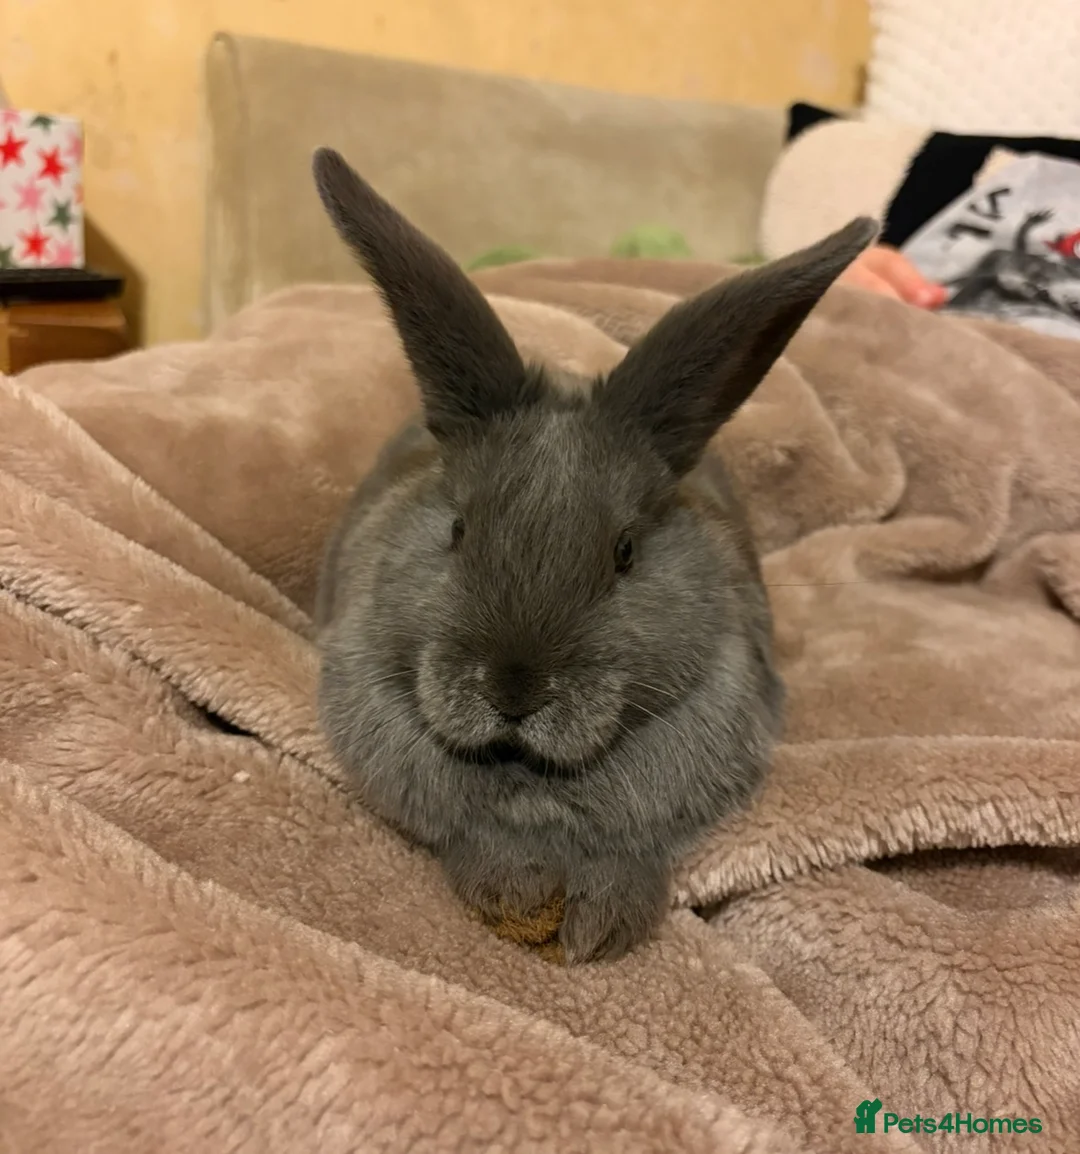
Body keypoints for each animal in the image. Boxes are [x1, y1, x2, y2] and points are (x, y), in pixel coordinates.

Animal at [311, 146, 876, 963]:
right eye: (457, 530)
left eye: (626, 552)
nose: (513, 690)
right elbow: (480, 845)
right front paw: (518, 905)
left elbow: (628, 860)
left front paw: (598, 932)